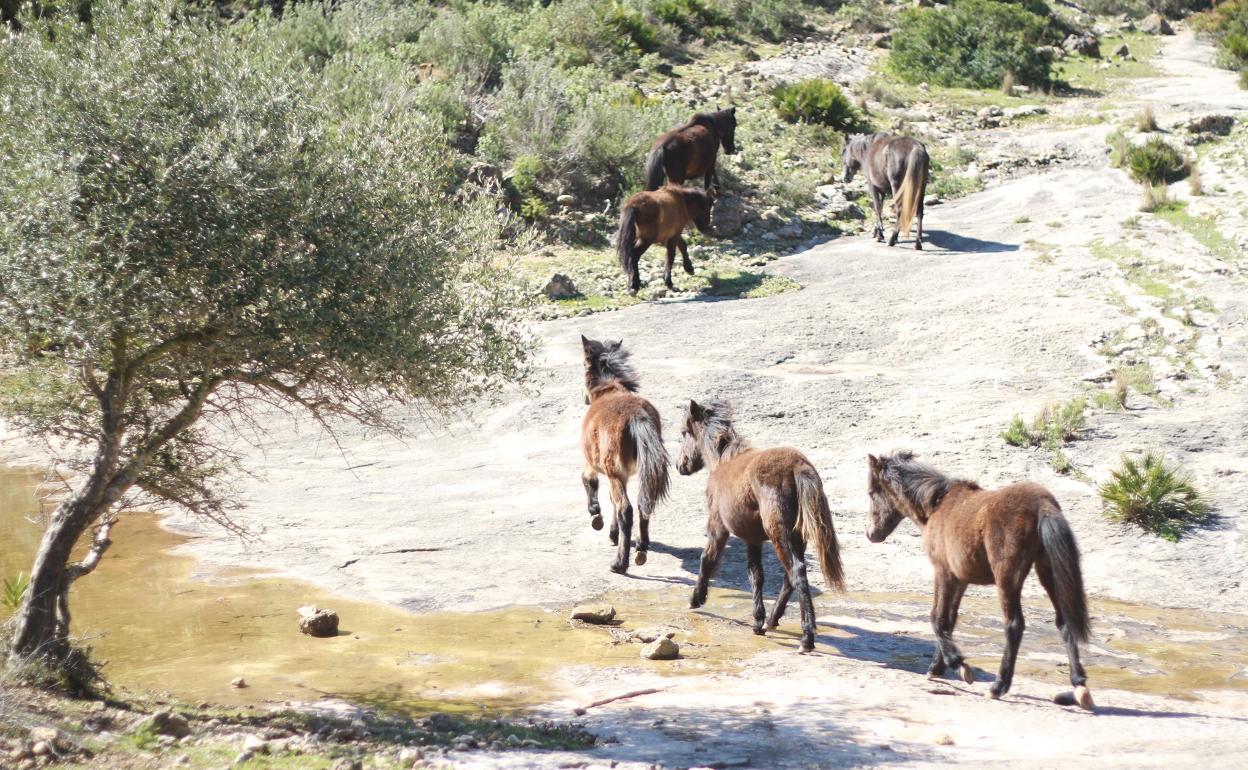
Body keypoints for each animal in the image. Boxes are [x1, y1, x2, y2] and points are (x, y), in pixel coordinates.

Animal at [581, 334, 673, 574]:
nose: (584, 398)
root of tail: (636, 416)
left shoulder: (596, 465)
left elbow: (589, 481)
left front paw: (596, 515)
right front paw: (613, 534)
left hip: (614, 472)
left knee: (626, 509)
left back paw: (620, 563)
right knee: (643, 504)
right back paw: (641, 549)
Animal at [678, 399, 843, 653]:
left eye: (684, 433)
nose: (680, 465)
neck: (723, 461)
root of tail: (797, 466)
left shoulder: (718, 525)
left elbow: (708, 559)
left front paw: (696, 599)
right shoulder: (753, 539)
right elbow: (756, 574)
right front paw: (757, 621)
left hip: (779, 534)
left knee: (797, 572)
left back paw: (806, 638)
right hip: (797, 537)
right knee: (789, 577)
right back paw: (772, 620)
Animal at [868, 449, 1093, 708]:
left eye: (871, 493)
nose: (871, 534)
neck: (936, 505)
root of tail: (1042, 505)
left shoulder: (943, 573)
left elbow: (937, 618)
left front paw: (959, 665)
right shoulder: (960, 580)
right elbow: (949, 620)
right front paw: (937, 667)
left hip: (1007, 579)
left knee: (1014, 625)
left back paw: (999, 686)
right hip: (1047, 572)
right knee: (1064, 621)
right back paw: (1079, 686)